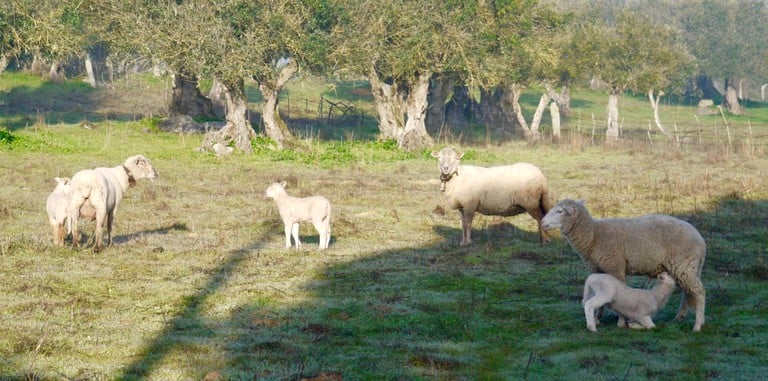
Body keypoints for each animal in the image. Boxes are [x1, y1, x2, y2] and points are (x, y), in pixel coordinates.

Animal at [540, 197, 708, 332]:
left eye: (560, 211)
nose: (542, 222)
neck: (594, 236)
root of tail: (701, 240)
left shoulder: (615, 266)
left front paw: (620, 322)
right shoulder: (598, 269)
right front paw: (597, 317)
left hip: (684, 265)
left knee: (698, 291)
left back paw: (698, 325)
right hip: (683, 268)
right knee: (687, 292)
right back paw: (679, 318)